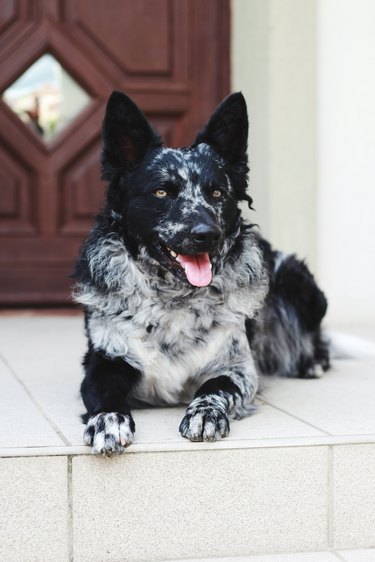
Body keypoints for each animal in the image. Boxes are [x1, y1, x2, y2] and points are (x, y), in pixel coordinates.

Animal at [72, 89, 328, 452]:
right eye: (161, 191)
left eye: (217, 192)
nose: (208, 234)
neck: (173, 299)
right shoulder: (103, 361)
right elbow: (104, 394)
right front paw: (108, 421)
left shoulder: (237, 367)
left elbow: (214, 387)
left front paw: (205, 413)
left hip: (300, 281)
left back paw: (312, 363)